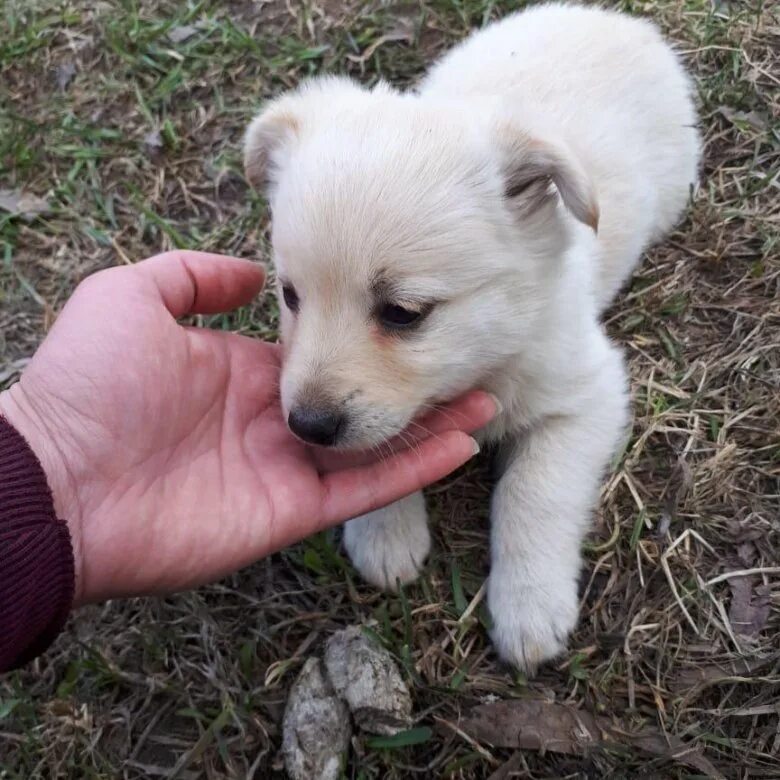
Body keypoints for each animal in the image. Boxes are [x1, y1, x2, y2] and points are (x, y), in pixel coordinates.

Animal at [244, 1, 700, 672]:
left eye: (403, 312)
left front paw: (529, 607)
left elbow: (533, 492)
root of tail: (618, 21)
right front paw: (386, 533)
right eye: (290, 295)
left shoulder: (586, 396)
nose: (307, 426)